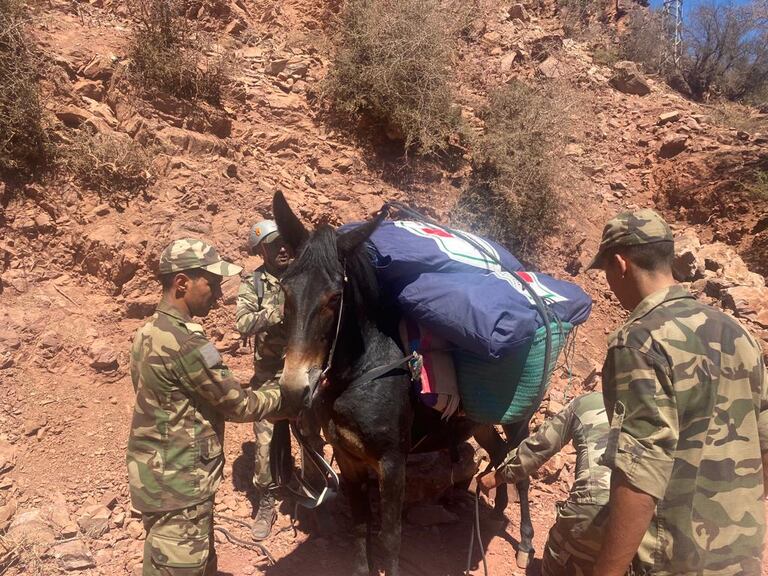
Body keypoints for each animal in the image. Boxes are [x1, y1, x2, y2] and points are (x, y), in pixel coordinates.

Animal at [273, 191, 536, 575]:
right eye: (285, 290)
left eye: (334, 298)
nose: (294, 389)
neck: (362, 371)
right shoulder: (348, 459)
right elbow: (360, 526)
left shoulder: (392, 464)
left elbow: (391, 537)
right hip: (479, 422)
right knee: (500, 453)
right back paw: (497, 509)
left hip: (518, 419)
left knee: (522, 467)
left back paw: (527, 543)